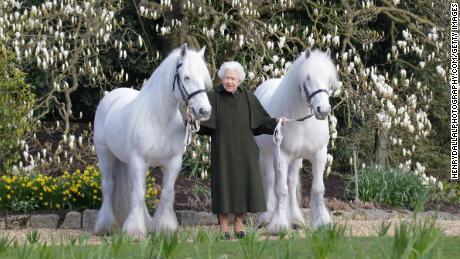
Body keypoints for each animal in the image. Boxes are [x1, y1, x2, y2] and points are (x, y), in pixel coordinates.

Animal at [93, 44, 212, 240]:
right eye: (186, 77)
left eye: (204, 78)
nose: (204, 111)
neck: (160, 119)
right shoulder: (139, 160)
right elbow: (139, 194)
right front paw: (134, 232)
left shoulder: (173, 163)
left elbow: (167, 194)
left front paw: (164, 228)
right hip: (105, 155)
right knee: (108, 187)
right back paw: (106, 226)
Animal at [253, 48, 340, 234]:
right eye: (308, 78)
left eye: (328, 78)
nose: (323, 110)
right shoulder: (282, 156)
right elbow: (280, 190)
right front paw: (278, 225)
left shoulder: (319, 154)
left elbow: (318, 189)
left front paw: (323, 222)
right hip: (266, 155)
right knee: (270, 181)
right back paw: (266, 217)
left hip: (296, 159)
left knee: (292, 183)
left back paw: (296, 219)